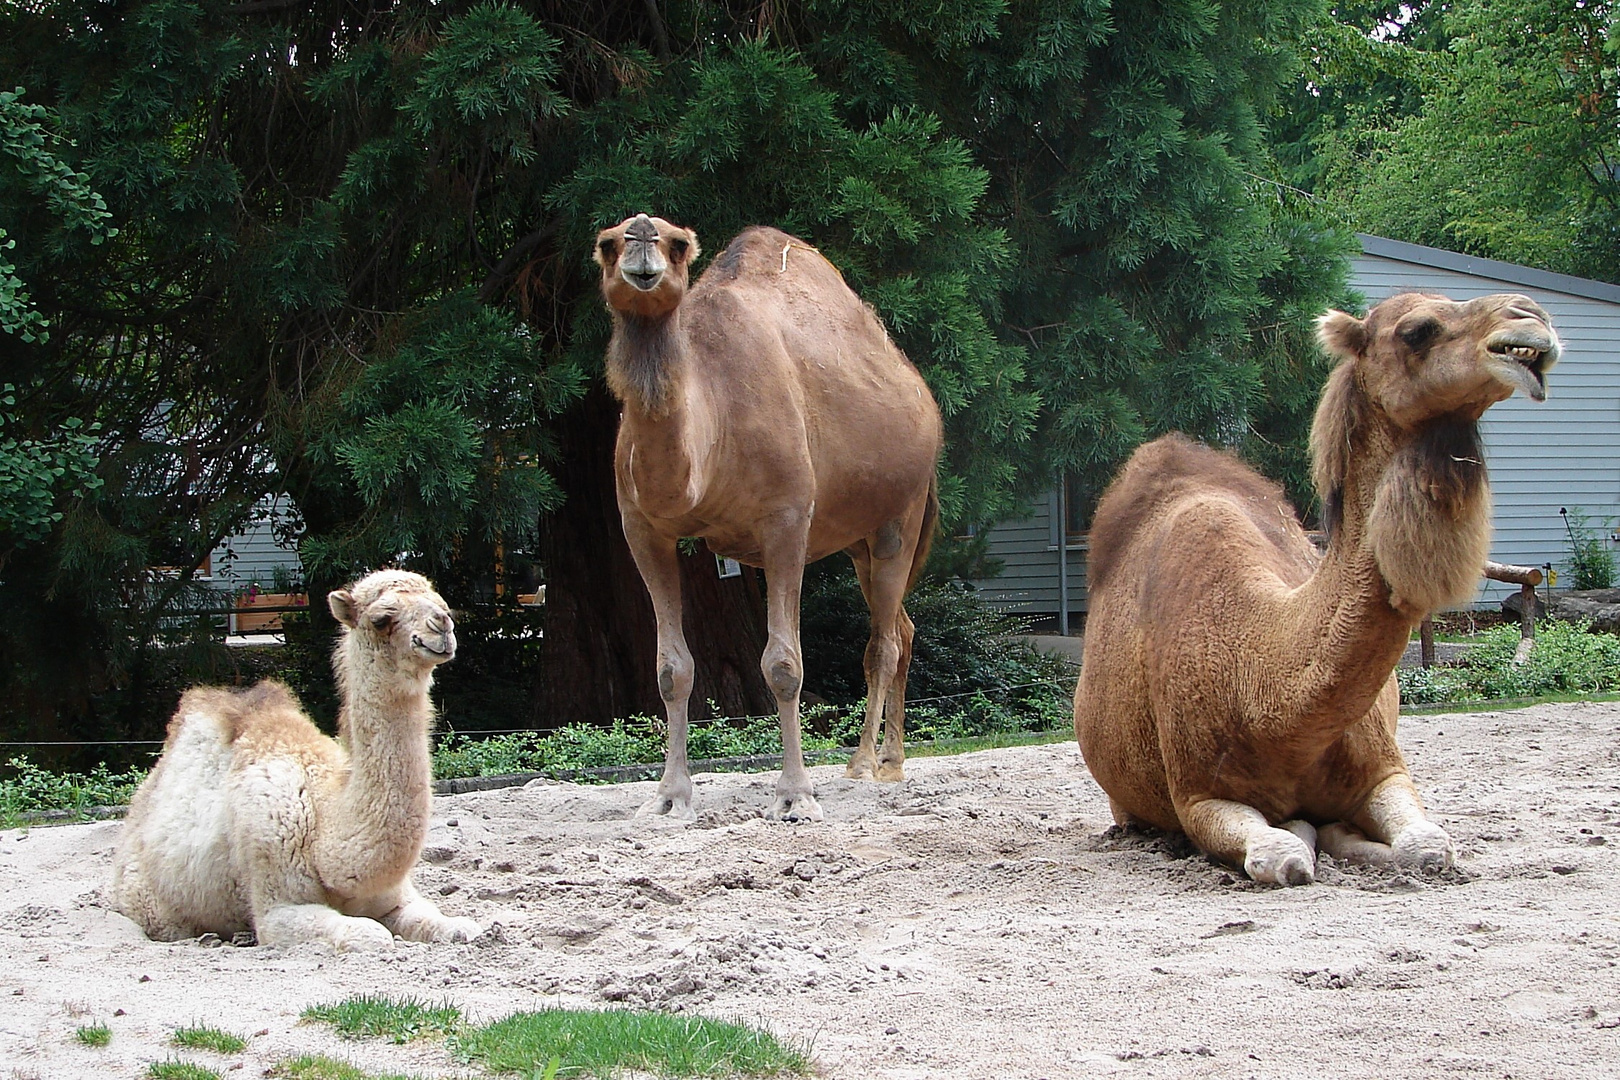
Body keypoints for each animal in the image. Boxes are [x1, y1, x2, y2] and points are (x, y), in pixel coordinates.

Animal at [103, 569, 473, 952]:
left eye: (444, 605)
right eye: (382, 618)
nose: (441, 625)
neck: (324, 828)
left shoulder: (396, 897)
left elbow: (458, 928)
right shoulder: (276, 900)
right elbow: (371, 934)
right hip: (149, 902)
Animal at [596, 215, 946, 822]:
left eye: (678, 243)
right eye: (606, 244)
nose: (641, 236)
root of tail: (923, 400)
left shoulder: (785, 520)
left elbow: (784, 665)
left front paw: (795, 795)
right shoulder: (643, 529)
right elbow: (670, 670)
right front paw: (669, 796)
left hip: (901, 513)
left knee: (883, 642)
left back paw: (866, 765)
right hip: (856, 541)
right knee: (900, 627)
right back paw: (888, 762)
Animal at [1075, 291, 1555, 880]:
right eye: (1417, 330)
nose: (1530, 316)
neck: (1262, 691)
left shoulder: (1384, 768)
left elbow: (1427, 847)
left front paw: (1356, 839)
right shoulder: (1197, 796)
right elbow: (1284, 856)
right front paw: (1308, 833)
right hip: (1125, 798)